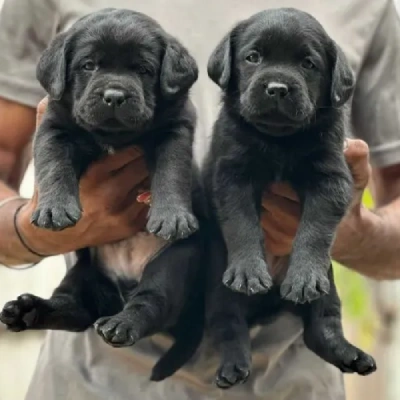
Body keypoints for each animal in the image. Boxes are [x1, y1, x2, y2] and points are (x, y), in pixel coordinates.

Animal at [0, 7, 205, 382]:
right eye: (88, 65)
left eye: (143, 70)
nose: (114, 95)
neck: (113, 136)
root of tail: (121, 291)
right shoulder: (54, 126)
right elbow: (53, 164)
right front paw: (54, 209)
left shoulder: (176, 127)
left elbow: (172, 170)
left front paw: (172, 216)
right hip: (85, 270)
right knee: (74, 307)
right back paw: (27, 310)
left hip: (172, 264)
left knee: (151, 302)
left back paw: (122, 325)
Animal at [205, 9, 376, 390]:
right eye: (253, 57)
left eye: (308, 64)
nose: (277, 88)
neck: (280, 141)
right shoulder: (232, 173)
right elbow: (242, 224)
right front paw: (249, 270)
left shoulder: (330, 177)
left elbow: (314, 230)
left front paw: (303, 278)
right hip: (220, 290)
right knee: (229, 324)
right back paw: (233, 366)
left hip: (329, 286)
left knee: (322, 325)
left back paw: (351, 355)